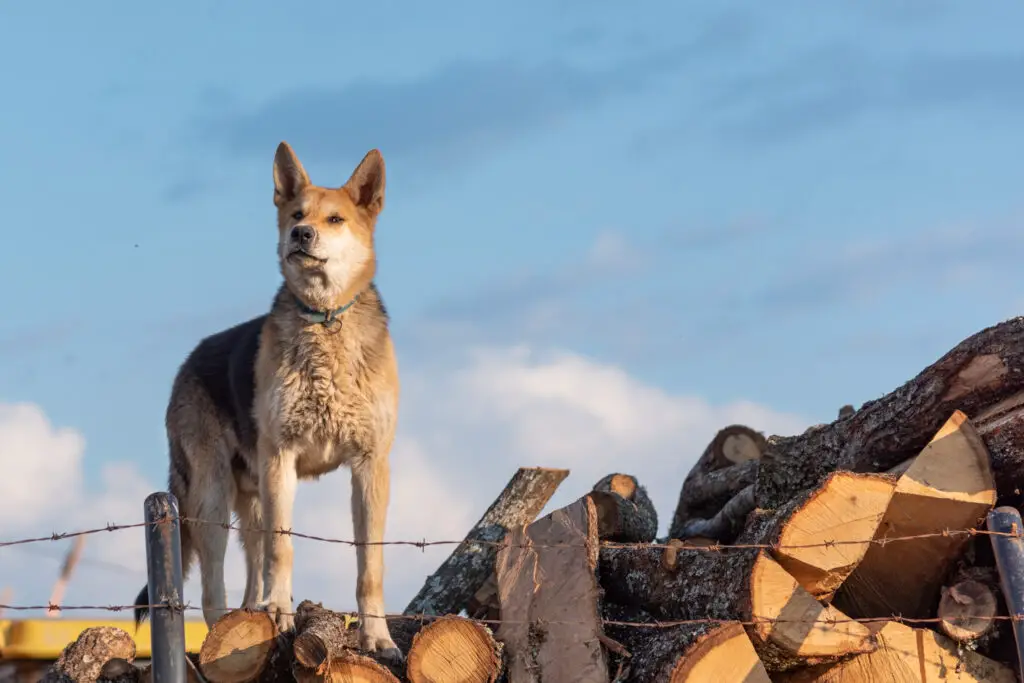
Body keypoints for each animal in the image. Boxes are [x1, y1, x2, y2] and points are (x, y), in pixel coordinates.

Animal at [129, 141, 399, 659]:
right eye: (296, 214)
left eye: (335, 219)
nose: (301, 234)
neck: (324, 320)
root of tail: (188, 363)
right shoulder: (281, 458)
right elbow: (283, 546)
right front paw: (280, 612)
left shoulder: (370, 465)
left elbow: (370, 567)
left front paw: (377, 636)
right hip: (213, 501)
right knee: (214, 592)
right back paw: (228, 636)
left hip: (249, 501)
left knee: (248, 578)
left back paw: (251, 616)